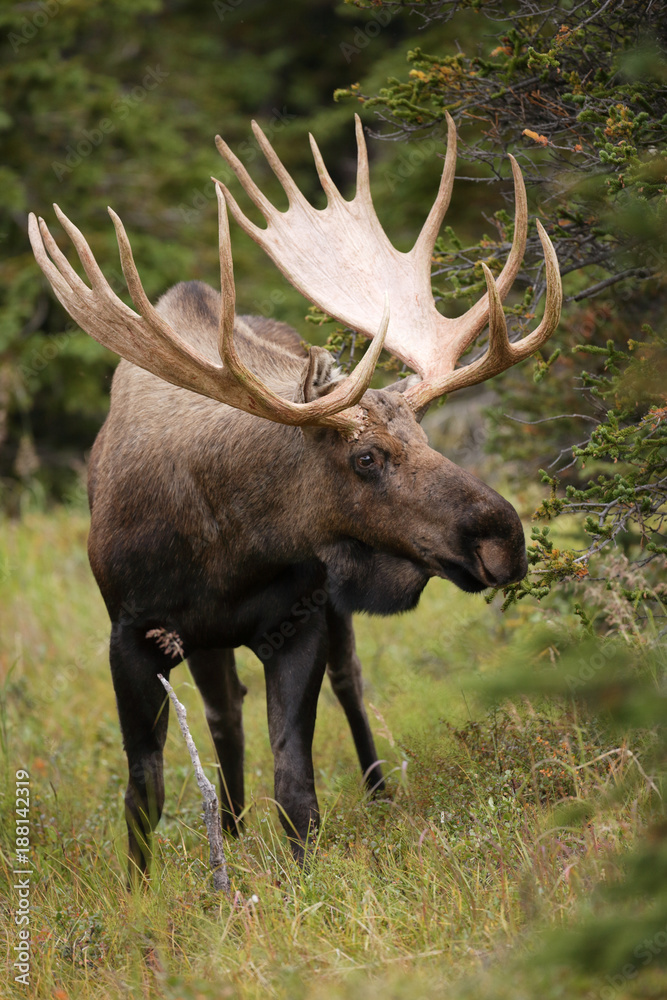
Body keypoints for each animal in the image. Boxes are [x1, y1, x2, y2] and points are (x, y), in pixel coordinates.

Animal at [29, 114, 561, 880]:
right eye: (365, 457)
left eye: (425, 436)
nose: (503, 537)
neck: (229, 546)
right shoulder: (130, 632)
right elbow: (143, 791)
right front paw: (141, 887)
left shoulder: (298, 618)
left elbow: (296, 787)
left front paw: (301, 878)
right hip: (201, 643)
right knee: (224, 717)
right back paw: (229, 828)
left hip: (323, 621)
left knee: (348, 686)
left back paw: (373, 796)